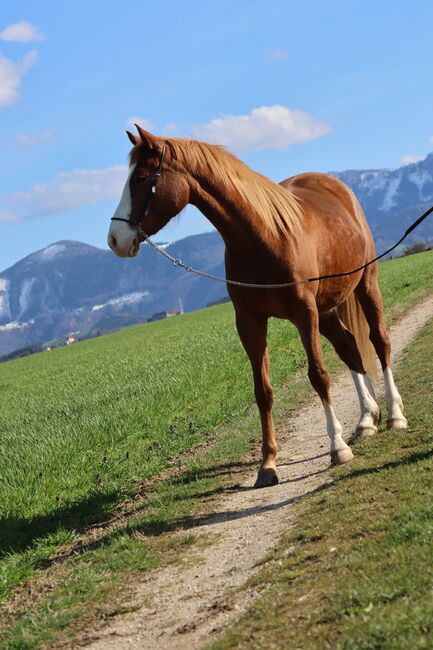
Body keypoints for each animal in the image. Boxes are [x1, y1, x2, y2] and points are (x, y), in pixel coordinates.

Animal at [106, 124, 406, 486]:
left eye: (140, 178)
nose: (115, 239)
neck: (263, 238)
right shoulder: (250, 322)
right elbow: (262, 391)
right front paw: (268, 464)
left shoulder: (304, 314)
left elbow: (318, 375)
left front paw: (337, 447)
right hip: (326, 310)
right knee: (350, 347)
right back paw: (366, 419)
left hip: (365, 285)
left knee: (379, 341)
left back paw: (394, 415)